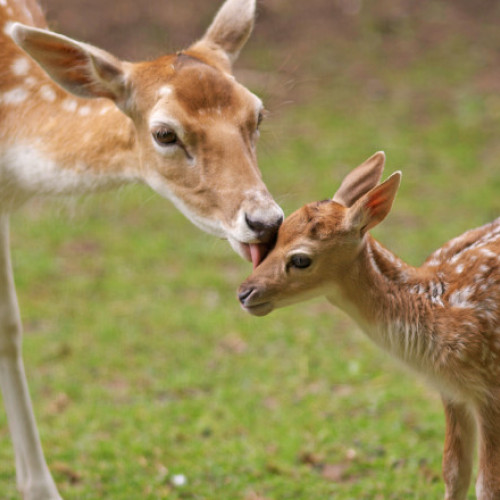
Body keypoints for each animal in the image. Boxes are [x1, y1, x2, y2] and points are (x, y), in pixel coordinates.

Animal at [239, 153, 500, 500]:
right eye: (276, 237)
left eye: (301, 259)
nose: (244, 293)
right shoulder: (452, 392)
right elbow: (454, 472)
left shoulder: (491, 389)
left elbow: (487, 485)